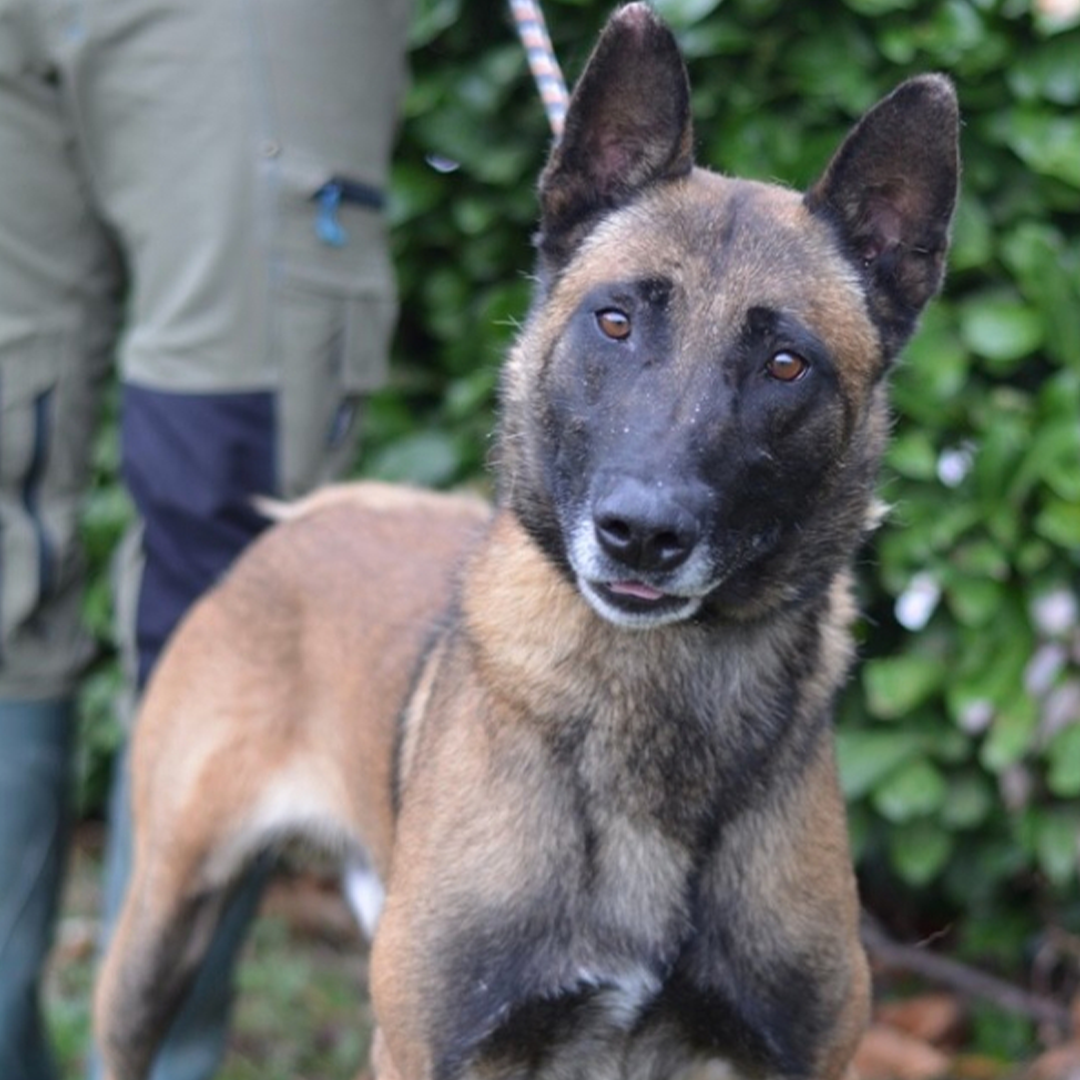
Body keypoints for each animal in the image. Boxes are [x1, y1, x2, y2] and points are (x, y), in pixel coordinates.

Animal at [97, 4, 963, 1075]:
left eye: (786, 364)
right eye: (615, 320)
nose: (642, 535)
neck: (656, 697)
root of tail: (321, 513)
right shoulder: (426, 1048)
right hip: (161, 923)